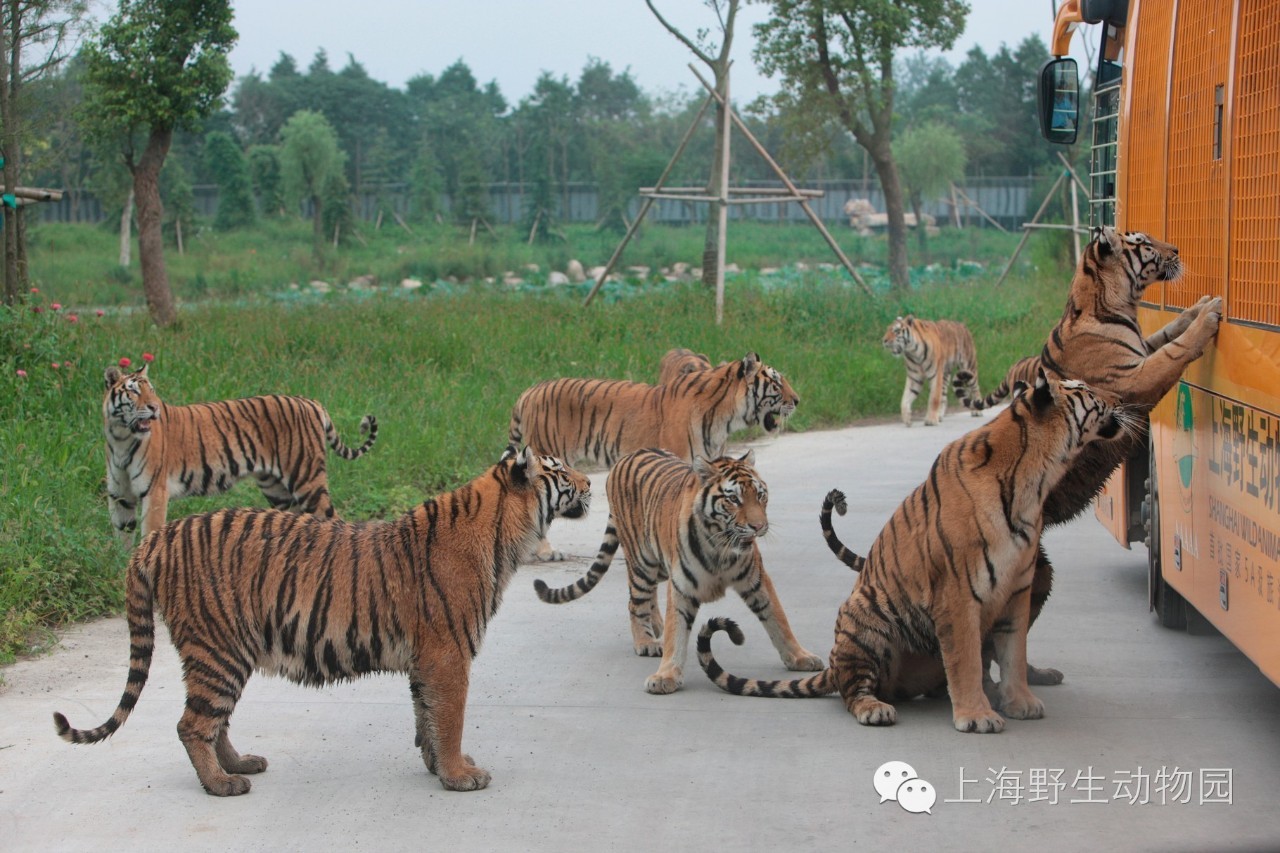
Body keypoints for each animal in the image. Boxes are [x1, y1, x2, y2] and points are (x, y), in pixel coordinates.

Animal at [51, 445, 588, 788]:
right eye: (561, 471)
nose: (588, 482)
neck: (504, 532)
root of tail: (155, 540)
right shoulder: (448, 655)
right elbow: (450, 718)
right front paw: (460, 775)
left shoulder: (427, 661)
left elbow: (427, 717)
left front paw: (440, 768)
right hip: (218, 648)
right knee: (192, 723)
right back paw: (221, 785)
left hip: (224, 653)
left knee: (213, 720)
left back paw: (239, 766)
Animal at [104, 361, 373, 545]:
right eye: (134, 391)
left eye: (152, 390)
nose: (154, 407)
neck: (121, 438)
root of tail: (310, 401)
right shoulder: (119, 496)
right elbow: (121, 538)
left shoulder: (155, 493)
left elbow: (148, 534)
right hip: (277, 489)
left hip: (306, 479)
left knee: (333, 519)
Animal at [529, 445, 819, 691]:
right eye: (734, 500)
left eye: (760, 495)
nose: (759, 527)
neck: (720, 547)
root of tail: (627, 456)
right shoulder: (682, 587)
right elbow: (675, 631)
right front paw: (665, 676)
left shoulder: (757, 581)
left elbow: (778, 620)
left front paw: (801, 658)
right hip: (642, 561)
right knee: (636, 601)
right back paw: (646, 641)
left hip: (659, 565)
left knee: (651, 596)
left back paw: (655, 625)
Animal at [701, 371, 1131, 732]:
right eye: (1086, 390)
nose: (1119, 397)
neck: (1036, 478)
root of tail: (835, 661)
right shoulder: (958, 592)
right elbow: (965, 659)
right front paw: (977, 716)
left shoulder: (1017, 590)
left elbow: (1013, 653)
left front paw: (1020, 702)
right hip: (865, 618)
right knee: (851, 691)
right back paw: (875, 708)